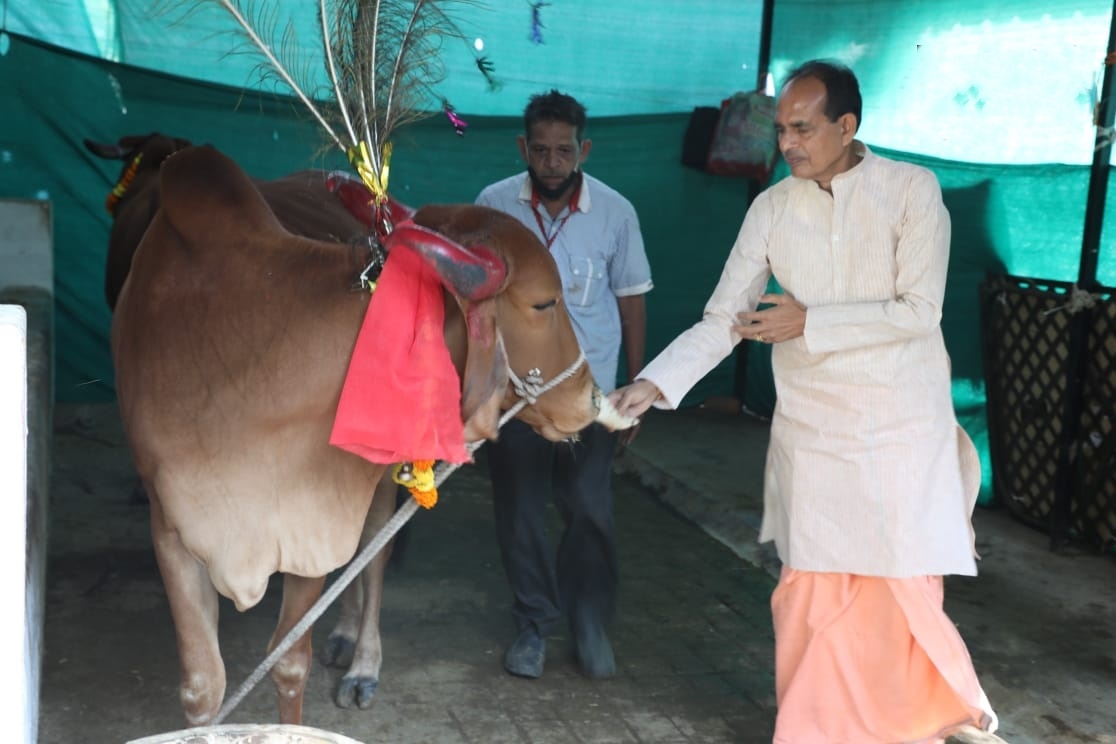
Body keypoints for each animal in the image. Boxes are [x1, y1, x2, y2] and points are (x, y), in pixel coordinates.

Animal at [92, 135, 633, 727]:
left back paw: (361, 660)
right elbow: (202, 688)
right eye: (544, 302)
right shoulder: (172, 525)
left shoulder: (311, 519)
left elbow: (290, 661)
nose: (591, 396)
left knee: (372, 556)